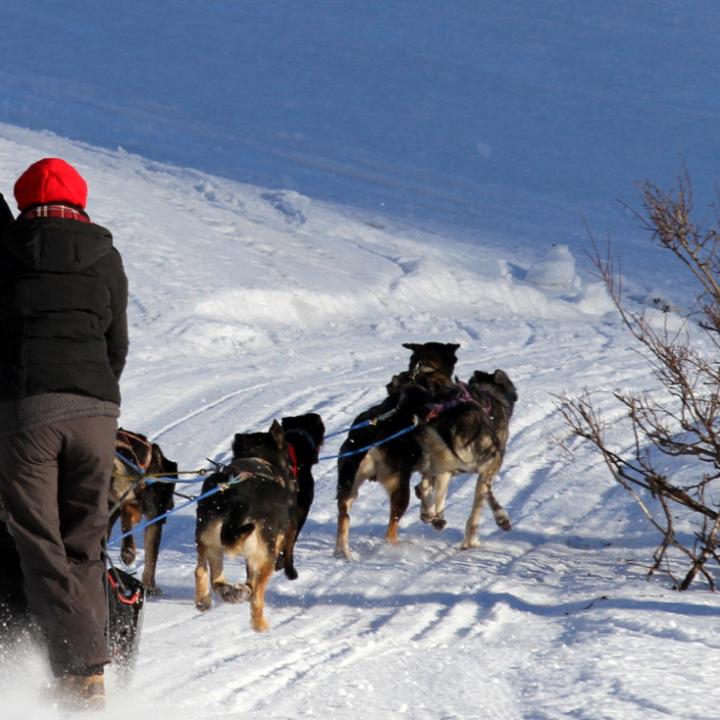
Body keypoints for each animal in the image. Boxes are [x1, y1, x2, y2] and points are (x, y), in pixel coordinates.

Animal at [193, 420, 296, 632]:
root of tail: (237, 500)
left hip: (208, 541)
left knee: (206, 574)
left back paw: (213, 597)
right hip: (266, 556)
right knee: (256, 595)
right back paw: (259, 623)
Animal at [334, 340, 458, 560]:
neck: (421, 374)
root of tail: (369, 438)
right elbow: (429, 488)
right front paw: (433, 516)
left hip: (348, 485)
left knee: (344, 516)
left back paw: (341, 551)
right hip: (399, 487)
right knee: (391, 527)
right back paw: (394, 547)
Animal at [416, 368, 516, 548]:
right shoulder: (486, 467)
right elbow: (486, 496)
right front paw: (501, 518)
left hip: (441, 459)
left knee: (425, 484)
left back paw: (433, 516)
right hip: (487, 458)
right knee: (475, 511)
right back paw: (471, 538)